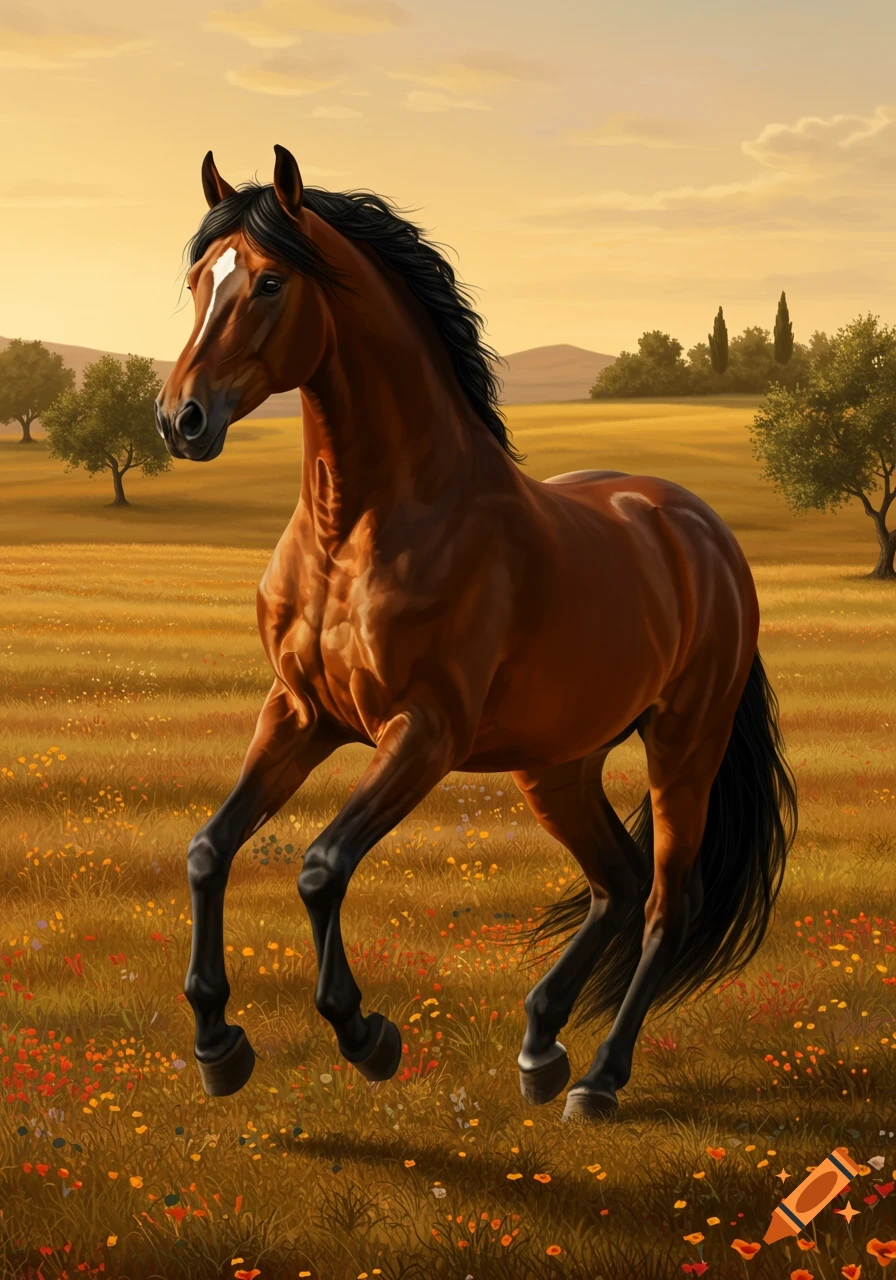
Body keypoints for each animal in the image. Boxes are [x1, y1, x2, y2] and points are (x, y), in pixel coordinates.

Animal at [155, 144, 797, 1121]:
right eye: (199, 279)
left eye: (268, 281)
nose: (179, 420)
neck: (364, 525)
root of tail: (700, 530)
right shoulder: (299, 712)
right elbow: (207, 849)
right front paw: (217, 1043)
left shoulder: (422, 733)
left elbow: (320, 866)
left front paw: (366, 1035)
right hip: (557, 763)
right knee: (617, 883)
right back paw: (539, 1048)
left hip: (684, 743)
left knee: (664, 903)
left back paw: (599, 1081)